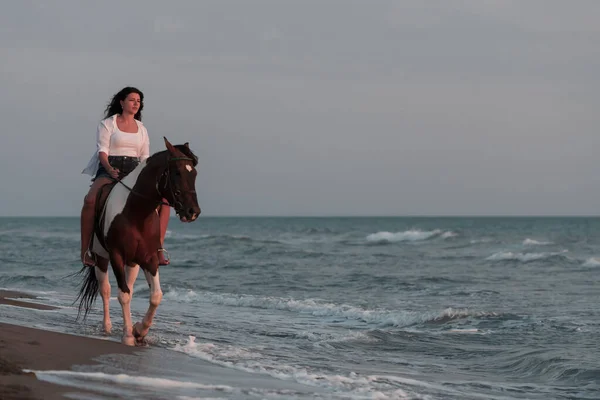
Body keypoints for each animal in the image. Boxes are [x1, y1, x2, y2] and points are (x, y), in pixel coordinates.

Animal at [75, 139, 199, 346]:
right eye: (177, 172)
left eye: (194, 174)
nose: (193, 212)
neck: (136, 213)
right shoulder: (116, 256)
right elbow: (122, 295)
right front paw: (128, 335)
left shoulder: (149, 258)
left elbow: (155, 296)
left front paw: (139, 330)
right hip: (100, 259)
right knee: (106, 290)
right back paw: (107, 327)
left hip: (132, 262)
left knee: (129, 288)